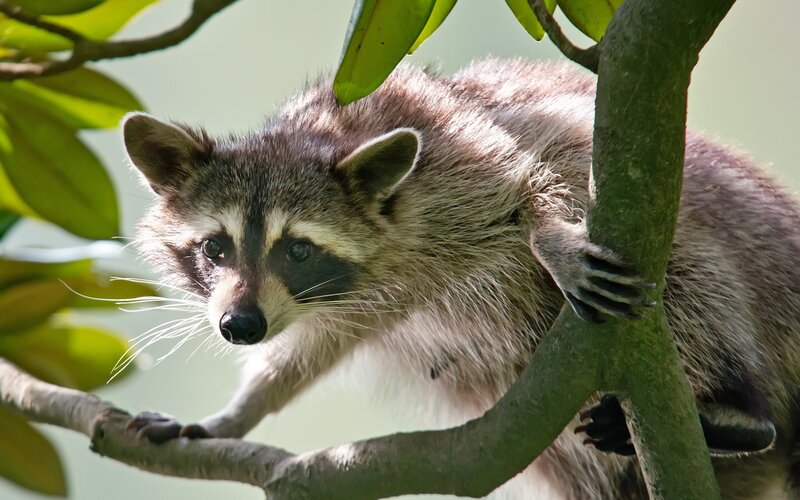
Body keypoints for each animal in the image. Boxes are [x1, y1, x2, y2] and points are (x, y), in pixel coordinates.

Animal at [122, 59, 800, 499]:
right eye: (215, 248)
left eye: (299, 251)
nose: (238, 325)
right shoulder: (354, 301)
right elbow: (311, 349)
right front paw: (235, 414)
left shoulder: (456, 153)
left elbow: (542, 167)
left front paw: (549, 236)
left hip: (742, 254)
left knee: (693, 270)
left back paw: (740, 409)